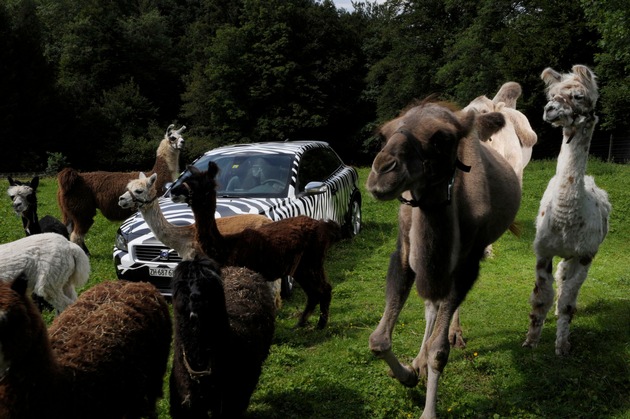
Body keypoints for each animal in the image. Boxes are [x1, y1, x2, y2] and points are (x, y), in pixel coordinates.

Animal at [366, 99, 524, 419]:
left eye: (442, 139)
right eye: (384, 133)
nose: (381, 171)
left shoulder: (467, 261)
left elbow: (439, 352)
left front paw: (428, 406)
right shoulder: (405, 253)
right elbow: (378, 339)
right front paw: (408, 373)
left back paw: (448, 340)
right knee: (431, 305)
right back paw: (418, 360)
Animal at [524, 64, 612, 356]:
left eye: (578, 96)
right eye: (552, 94)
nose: (549, 109)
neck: (565, 218)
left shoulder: (586, 254)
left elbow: (568, 300)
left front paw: (562, 345)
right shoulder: (543, 251)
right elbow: (540, 298)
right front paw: (530, 341)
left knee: (564, 280)